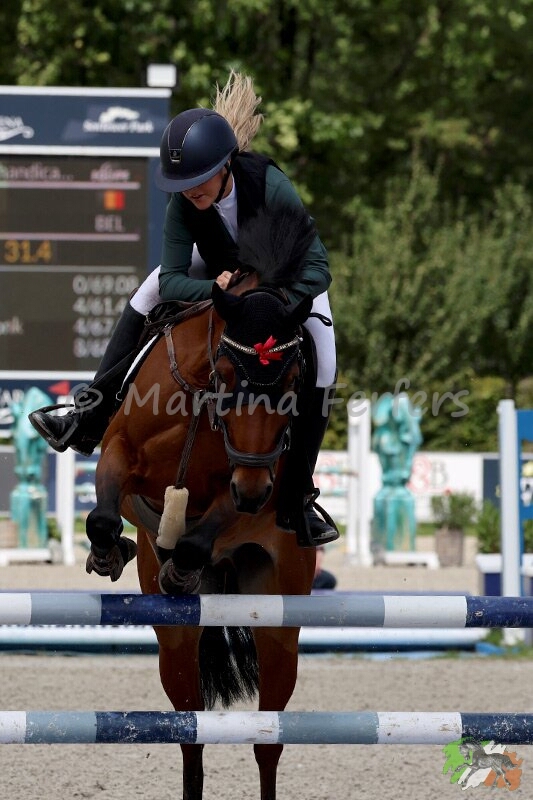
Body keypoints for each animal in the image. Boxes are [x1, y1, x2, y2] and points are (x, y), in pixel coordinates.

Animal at [85, 205, 320, 800]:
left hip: (279, 623)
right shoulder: (119, 451)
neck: (198, 394)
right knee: (189, 732)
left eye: (294, 378)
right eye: (231, 370)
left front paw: (184, 563)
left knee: (267, 741)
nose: (253, 489)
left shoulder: (249, 487)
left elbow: (208, 525)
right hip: (174, 644)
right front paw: (109, 551)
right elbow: (103, 509)